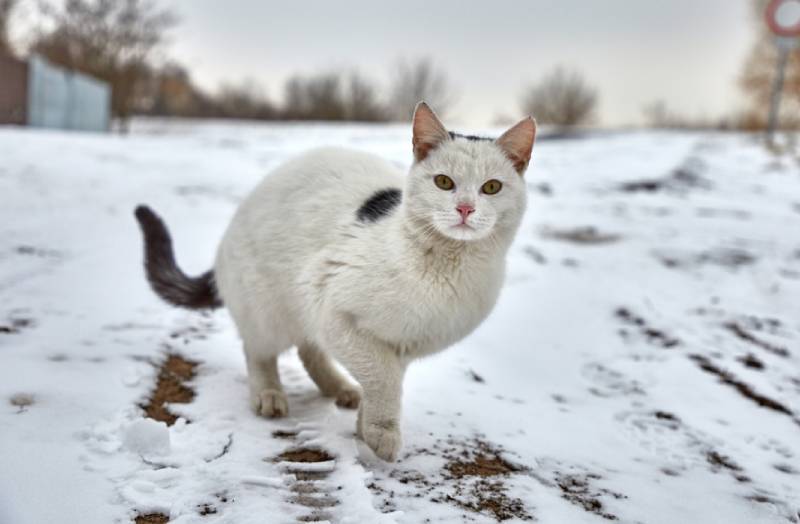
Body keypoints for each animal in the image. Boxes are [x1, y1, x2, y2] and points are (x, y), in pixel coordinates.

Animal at [136, 101, 536, 458]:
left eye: (491, 188)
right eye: (443, 182)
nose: (465, 208)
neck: (445, 268)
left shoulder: (402, 346)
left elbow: (385, 379)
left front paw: (366, 426)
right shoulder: (331, 306)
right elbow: (382, 376)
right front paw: (381, 432)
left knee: (308, 349)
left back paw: (339, 388)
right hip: (270, 308)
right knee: (260, 350)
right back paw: (269, 394)